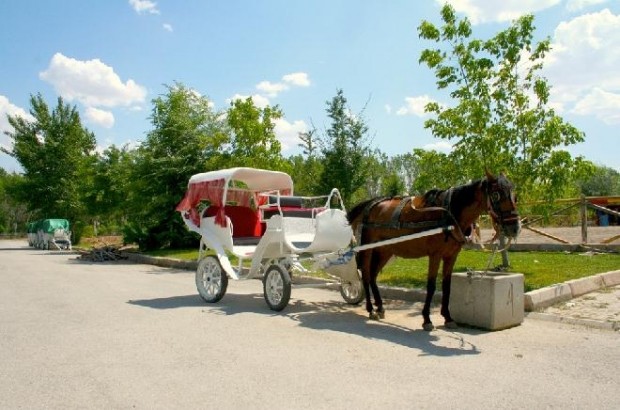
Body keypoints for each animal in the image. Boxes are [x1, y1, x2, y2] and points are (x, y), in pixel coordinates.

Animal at [346, 171, 520, 332]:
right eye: (496, 194)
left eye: (514, 195)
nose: (515, 228)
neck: (449, 213)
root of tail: (370, 204)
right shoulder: (435, 255)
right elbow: (431, 286)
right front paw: (427, 319)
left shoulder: (451, 256)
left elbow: (447, 286)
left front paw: (448, 317)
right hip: (367, 249)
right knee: (366, 275)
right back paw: (371, 309)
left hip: (385, 250)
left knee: (373, 276)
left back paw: (380, 307)